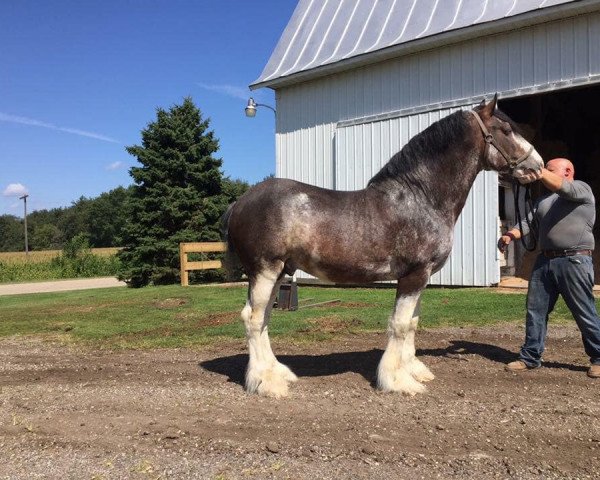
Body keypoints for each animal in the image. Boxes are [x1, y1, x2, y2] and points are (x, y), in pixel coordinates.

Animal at [221, 96, 544, 398]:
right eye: (506, 130)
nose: (538, 165)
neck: (421, 198)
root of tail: (240, 203)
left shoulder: (421, 277)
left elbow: (412, 323)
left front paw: (414, 370)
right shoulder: (414, 275)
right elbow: (399, 325)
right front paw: (398, 381)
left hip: (278, 272)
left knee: (263, 318)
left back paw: (278, 373)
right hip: (265, 270)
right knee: (253, 319)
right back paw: (266, 382)